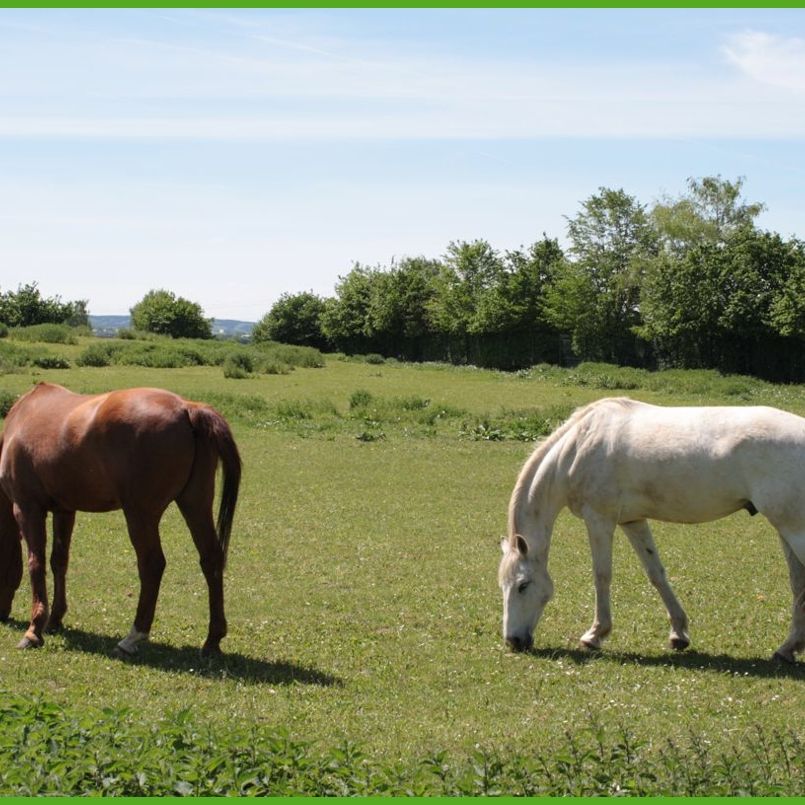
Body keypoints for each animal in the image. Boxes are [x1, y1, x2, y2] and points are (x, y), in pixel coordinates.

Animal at [0, 382, 240, 652]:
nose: (2, 616)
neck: (21, 419)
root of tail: (187, 408)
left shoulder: (27, 508)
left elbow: (36, 563)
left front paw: (34, 631)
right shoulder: (64, 510)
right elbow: (58, 561)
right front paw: (55, 620)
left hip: (140, 515)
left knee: (152, 564)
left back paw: (133, 636)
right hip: (194, 504)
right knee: (211, 559)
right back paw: (212, 640)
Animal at [496, 398, 804, 664]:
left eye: (523, 585)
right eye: (503, 585)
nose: (513, 641)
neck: (578, 445)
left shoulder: (599, 520)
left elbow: (601, 575)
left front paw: (595, 635)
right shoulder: (633, 521)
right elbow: (656, 574)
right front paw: (679, 634)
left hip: (793, 528)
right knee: (797, 584)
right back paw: (787, 649)